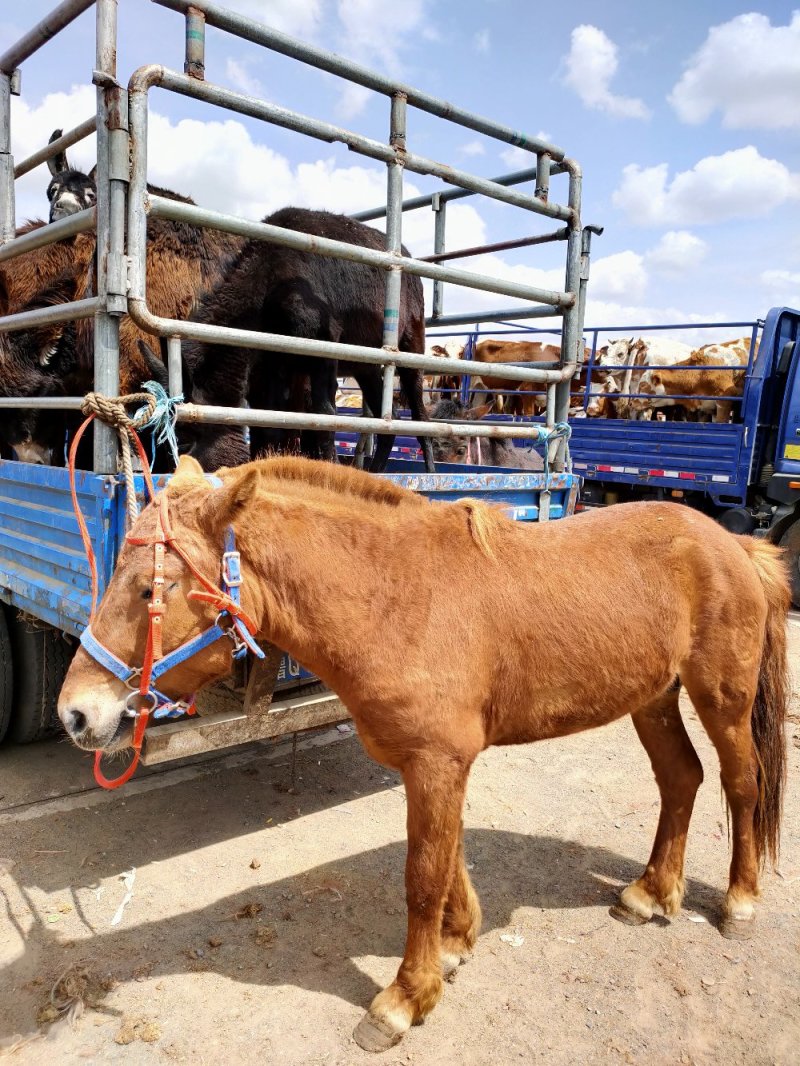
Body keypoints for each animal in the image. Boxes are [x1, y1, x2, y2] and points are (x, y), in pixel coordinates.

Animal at [57, 454, 789, 1052]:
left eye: (151, 590)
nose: (75, 713)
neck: (396, 597)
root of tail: (734, 542)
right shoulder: (438, 766)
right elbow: (449, 857)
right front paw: (456, 946)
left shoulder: (437, 764)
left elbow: (422, 877)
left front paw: (405, 1000)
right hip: (655, 698)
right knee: (681, 779)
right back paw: (651, 893)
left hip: (721, 698)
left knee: (741, 783)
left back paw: (740, 902)